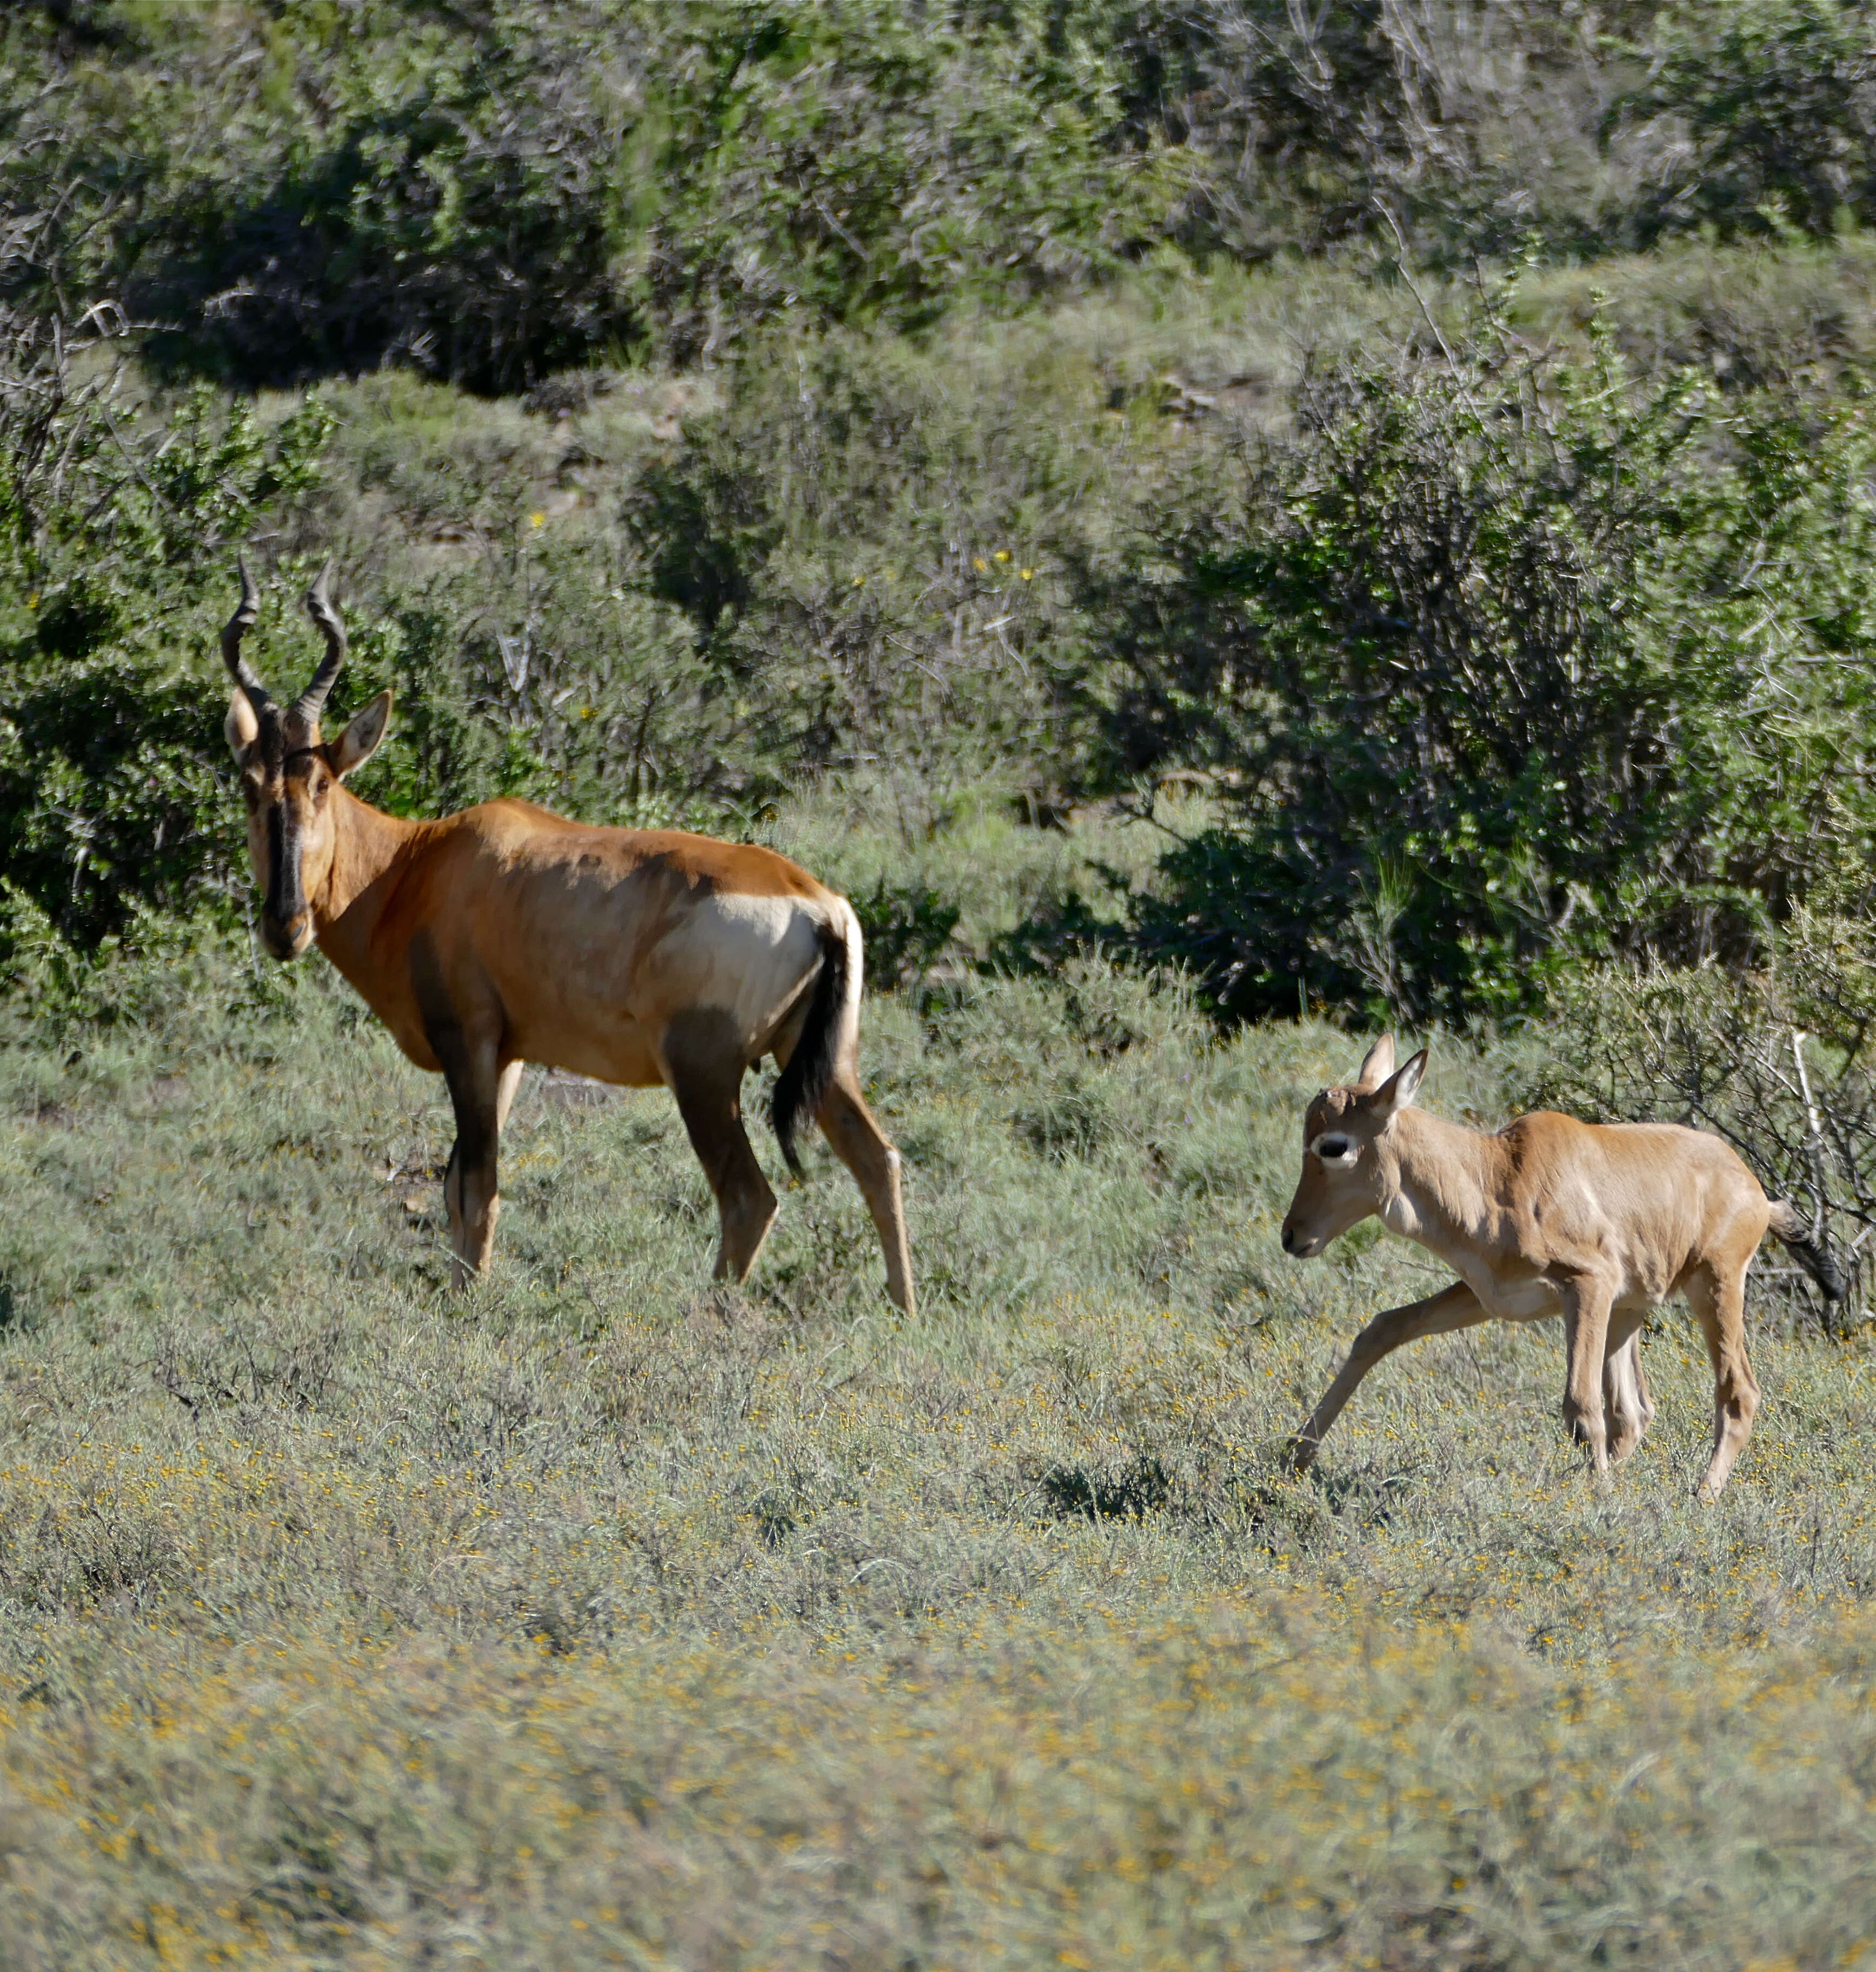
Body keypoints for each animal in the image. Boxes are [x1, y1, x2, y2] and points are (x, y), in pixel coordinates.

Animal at [219, 564, 915, 1317]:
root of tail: (819, 905)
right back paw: (903, 1315)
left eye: (321, 781)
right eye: (251, 785)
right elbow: (457, 1187)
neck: (418, 861)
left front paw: (466, 1314)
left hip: (702, 1070)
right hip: (821, 1057)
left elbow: (476, 1187)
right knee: (878, 1159)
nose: (285, 926)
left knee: (747, 1197)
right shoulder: (508, 1056)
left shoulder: (468, 1042)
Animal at [1286, 1033, 1838, 1490]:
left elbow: (1580, 1407)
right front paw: (1295, 1456)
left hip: (1713, 1288)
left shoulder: (1586, 1285)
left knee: (1735, 1394)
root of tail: (1756, 1192)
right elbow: (1383, 1328)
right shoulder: (1490, 1297)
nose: (1293, 1236)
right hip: (1627, 1314)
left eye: (1333, 1146)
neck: (1499, 1174)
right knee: (1636, 1412)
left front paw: (1603, 1504)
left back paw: (1702, 1497)